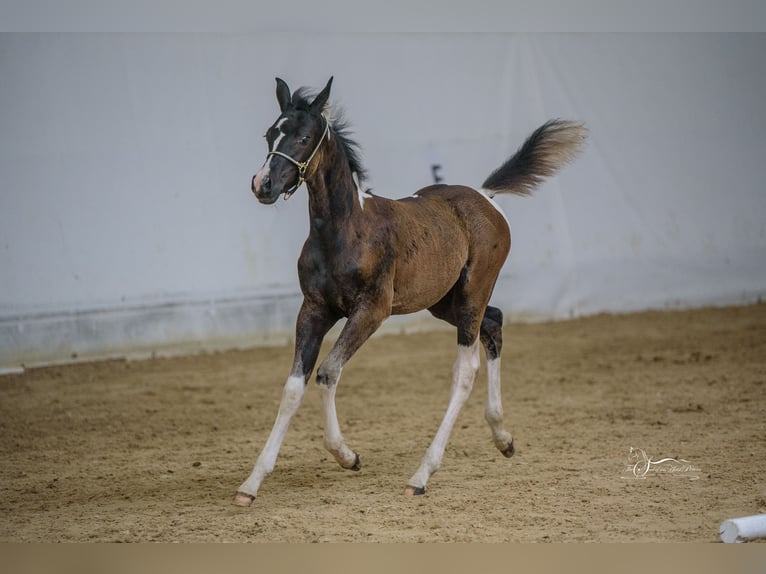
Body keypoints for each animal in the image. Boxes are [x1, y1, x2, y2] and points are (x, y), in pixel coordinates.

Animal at [237, 77, 592, 508]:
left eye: (304, 137)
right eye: (270, 134)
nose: (263, 185)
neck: (344, 230)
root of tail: (485, 196)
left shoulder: (371, 310)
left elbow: (327, 372)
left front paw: (347, 456)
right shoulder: (314, 309)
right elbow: (294, 387)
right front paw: (251, 484)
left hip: (473, 292)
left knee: (465, 370)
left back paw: (422, 474)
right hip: (444, 302)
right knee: (495, 323)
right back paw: (502, 437)